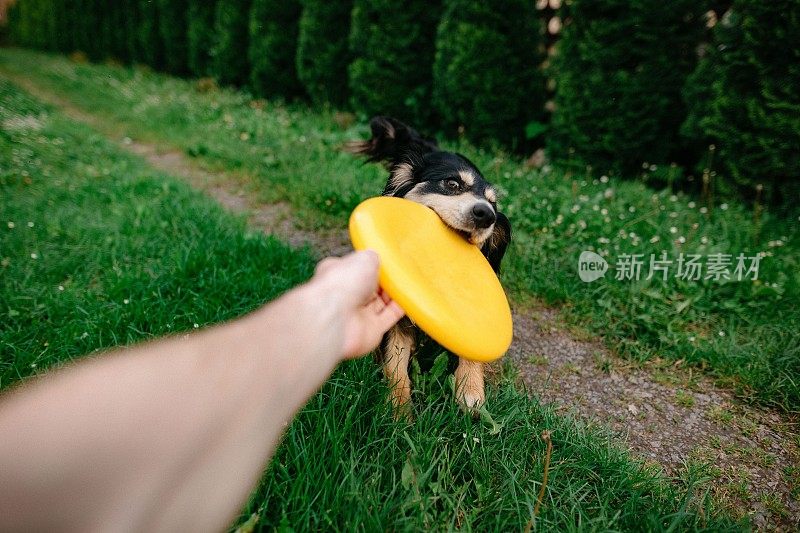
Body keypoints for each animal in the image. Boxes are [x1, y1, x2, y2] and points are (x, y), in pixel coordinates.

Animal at [348, 116, 512, 416]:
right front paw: (399, 411)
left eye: (493, 204)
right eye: (452, 184)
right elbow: (396, 365)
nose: (486, 215)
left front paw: (472, 390)